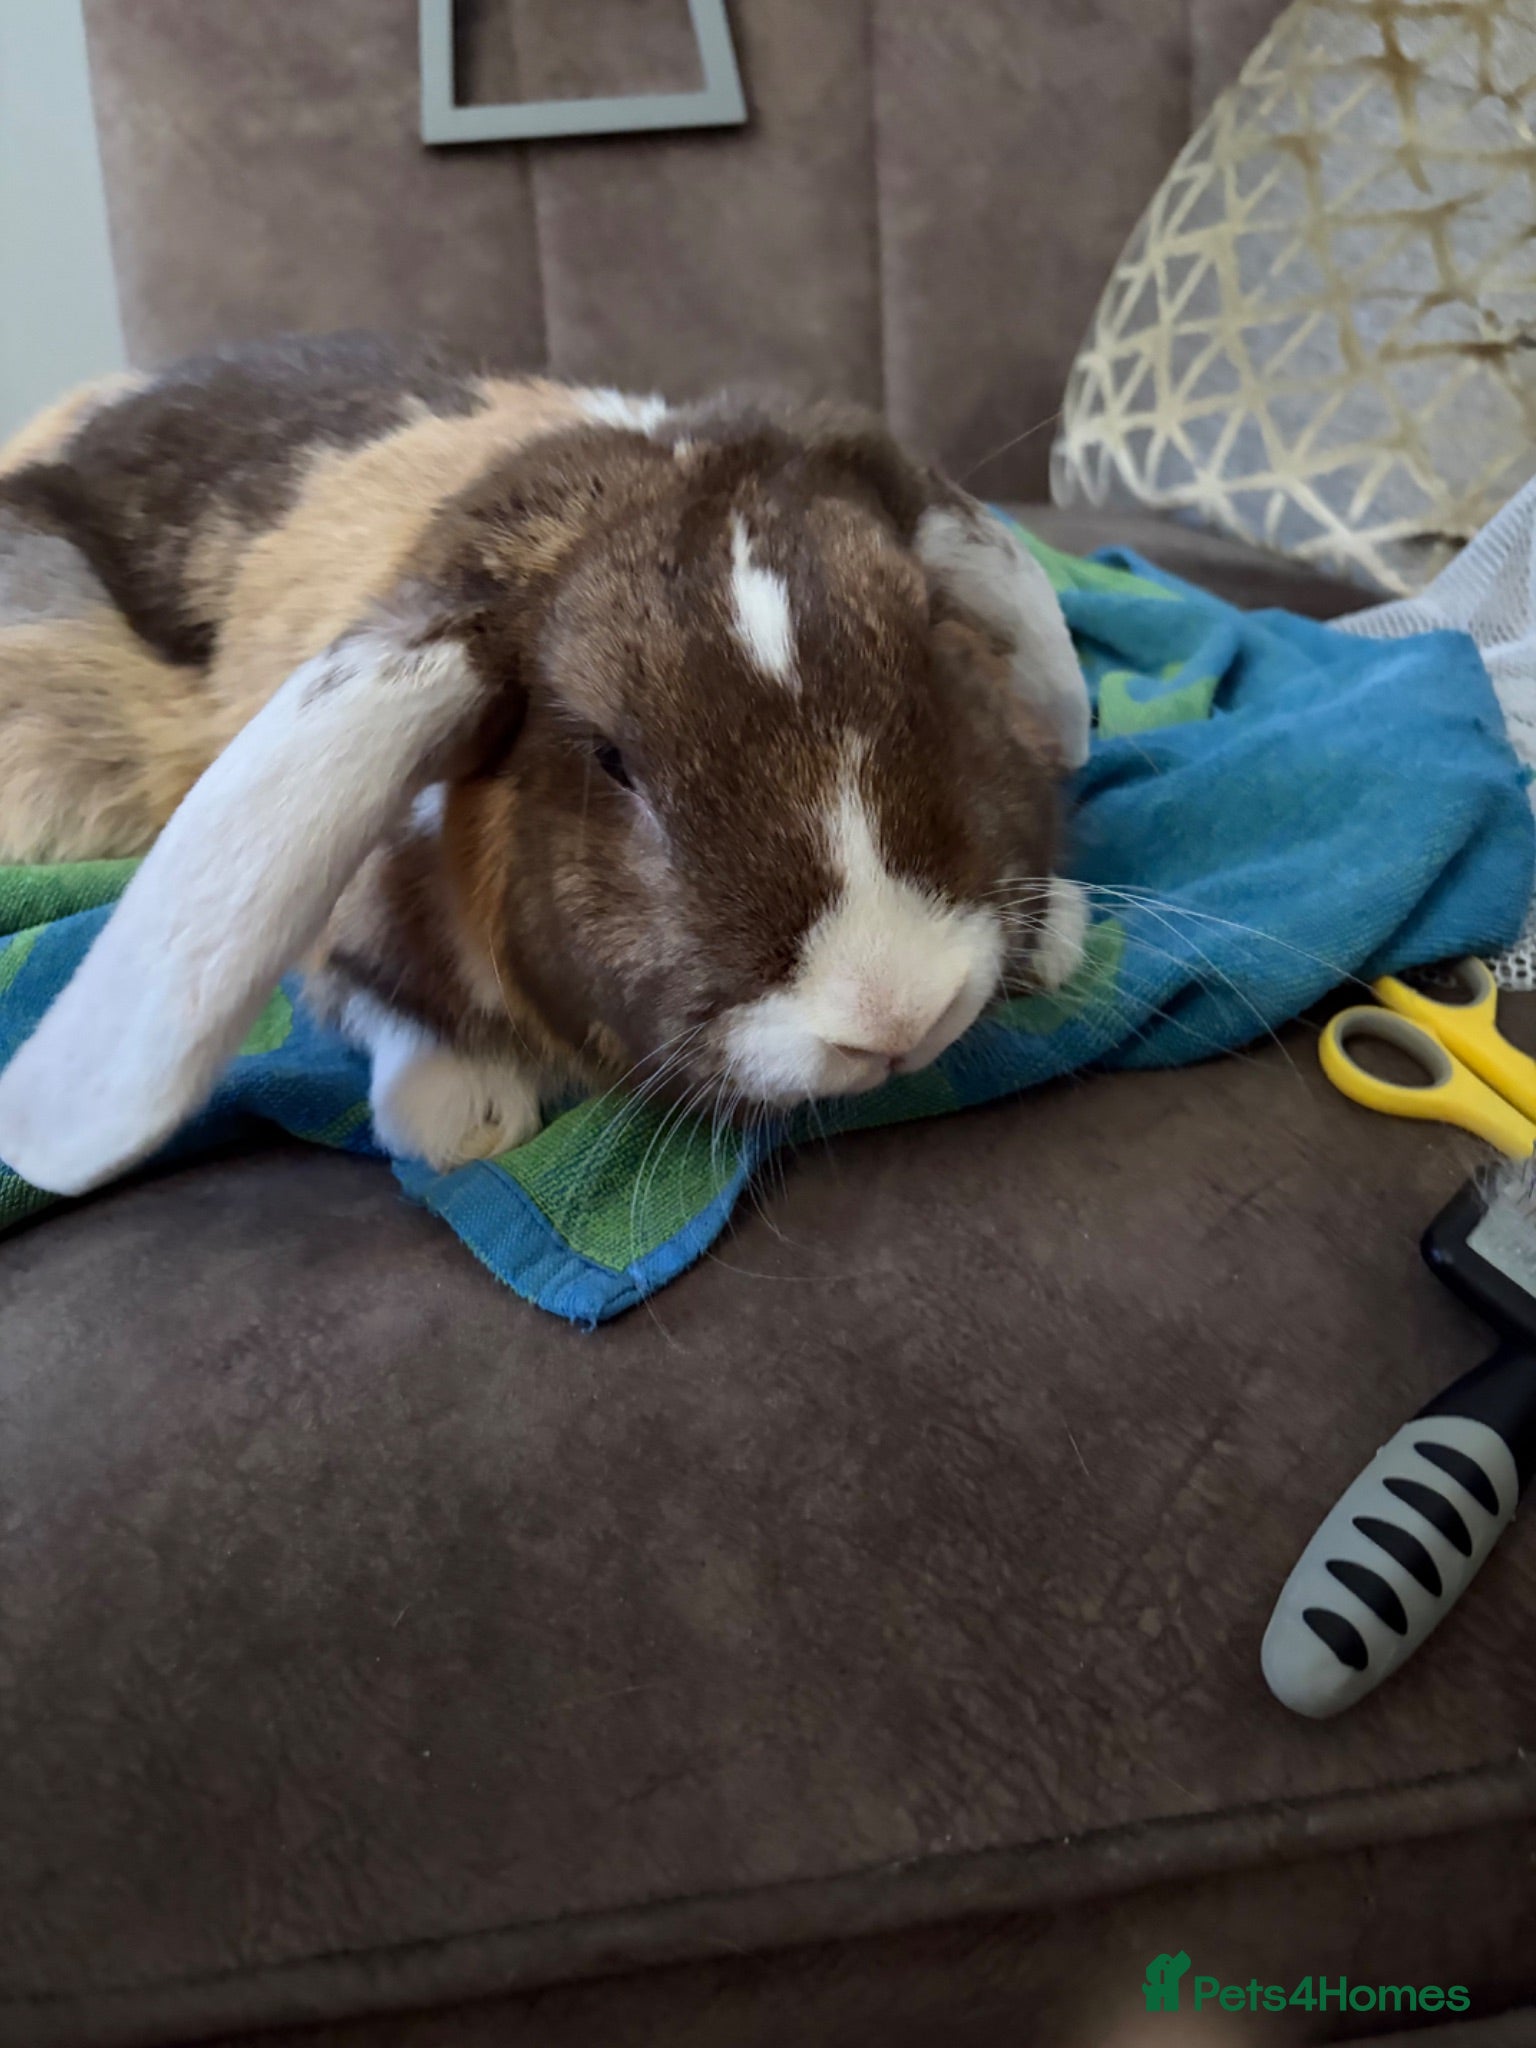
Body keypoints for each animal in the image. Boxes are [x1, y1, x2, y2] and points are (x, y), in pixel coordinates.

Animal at [0, 333, 1091, 1196]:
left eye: (934, 635)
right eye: (612, 758)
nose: (899, 1011)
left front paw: (1061, 936)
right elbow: (376, 999)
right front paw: (461, 1115)